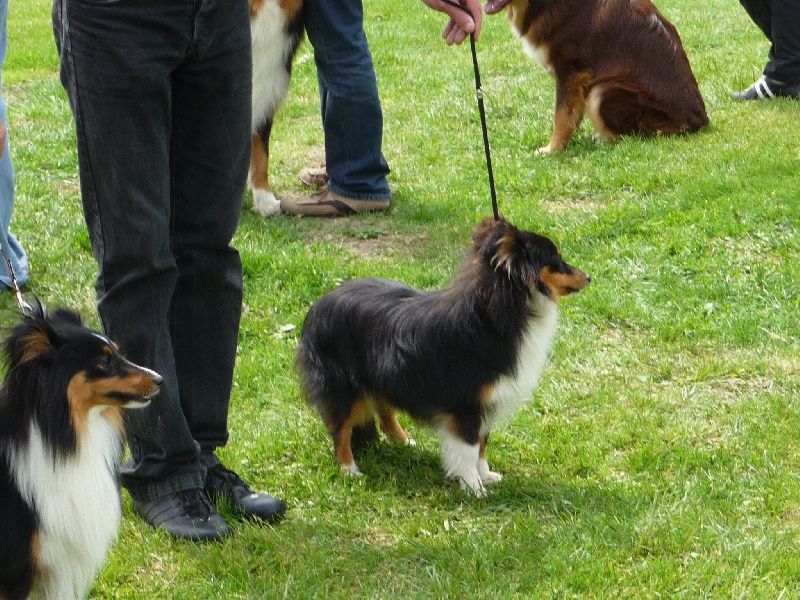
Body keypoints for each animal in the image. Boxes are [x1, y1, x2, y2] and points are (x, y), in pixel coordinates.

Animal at [296, 217, 590, 497]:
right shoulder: (466, 402)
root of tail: (317, 306)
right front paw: (473, 487)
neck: (496, 311)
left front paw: (485, 475)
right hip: (343, 385)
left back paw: (403, 441)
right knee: (340, 428)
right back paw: (349, 469)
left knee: (384, 408)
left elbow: (483, 442)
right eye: (556, 260)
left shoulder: (487, 400)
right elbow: (469, 447)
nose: (588, 277)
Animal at [484, 0, 709, 153]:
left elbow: (562, 115)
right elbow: (572, 114)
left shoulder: (571, 68)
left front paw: (552, 149)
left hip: (604, 91)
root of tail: (699, 123)